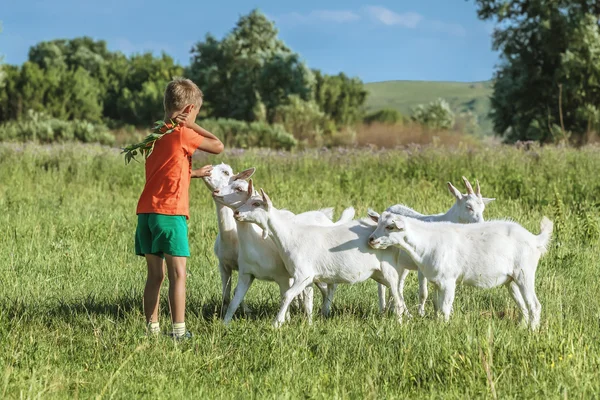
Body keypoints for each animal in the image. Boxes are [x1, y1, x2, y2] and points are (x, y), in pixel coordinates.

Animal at [233, 188, 404, 328]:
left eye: (256, 203)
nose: (236, 213)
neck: (289, 235)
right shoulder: (308, 278)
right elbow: (308, 302)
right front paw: (309, 324)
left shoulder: (302, 274)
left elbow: (287, 295)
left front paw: (277, 323)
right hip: (378, 273)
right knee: (397, 294)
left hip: (389, 269)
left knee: (397, 296)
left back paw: (399, 323)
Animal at [368, 211, 552, 330]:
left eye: (390, 227)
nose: (371, 239)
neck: (426, 242)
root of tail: (534, 239)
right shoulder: (436, 282)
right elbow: (437, 307)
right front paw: (437, 325)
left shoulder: (448, 281)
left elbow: (445, 307)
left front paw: (444, 329)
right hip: (511, 280)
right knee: (523, 306)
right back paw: (521, 327)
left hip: (524, 273)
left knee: (534, 305)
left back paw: (532, 331)